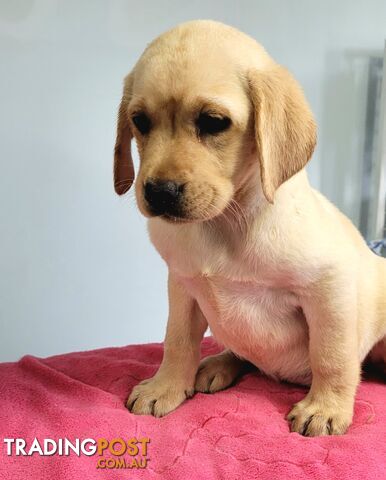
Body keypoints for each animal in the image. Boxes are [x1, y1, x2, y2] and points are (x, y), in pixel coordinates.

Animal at [114, 20, 386, 436]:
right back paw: (219, 364)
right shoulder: (182, 285)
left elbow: (332, 356)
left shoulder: (329, 286)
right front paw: (168, 386)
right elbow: (177, 341)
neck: (224, 222)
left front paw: (326, 408)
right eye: (140, 122)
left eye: (213, 122)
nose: (159, 192)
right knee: (244, 354)